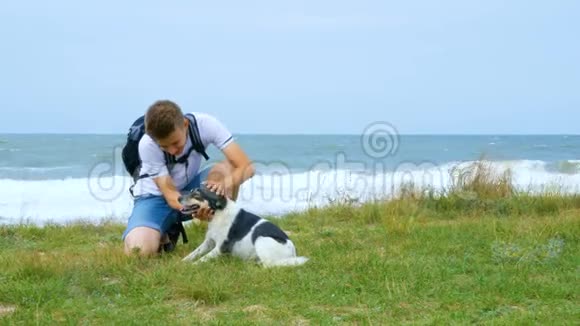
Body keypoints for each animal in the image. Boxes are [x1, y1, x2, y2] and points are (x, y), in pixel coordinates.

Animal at [180, 186, 308, 268]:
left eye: (197, 195)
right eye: (191, 191)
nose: (178, 198)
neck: (219, 213)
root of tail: (292, 253)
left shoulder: (221, 248)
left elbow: (203, 259)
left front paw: (192, 266)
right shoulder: (209, 242)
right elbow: (193, 254)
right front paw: (181, 262)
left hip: (260, 239)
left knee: (269, 265)